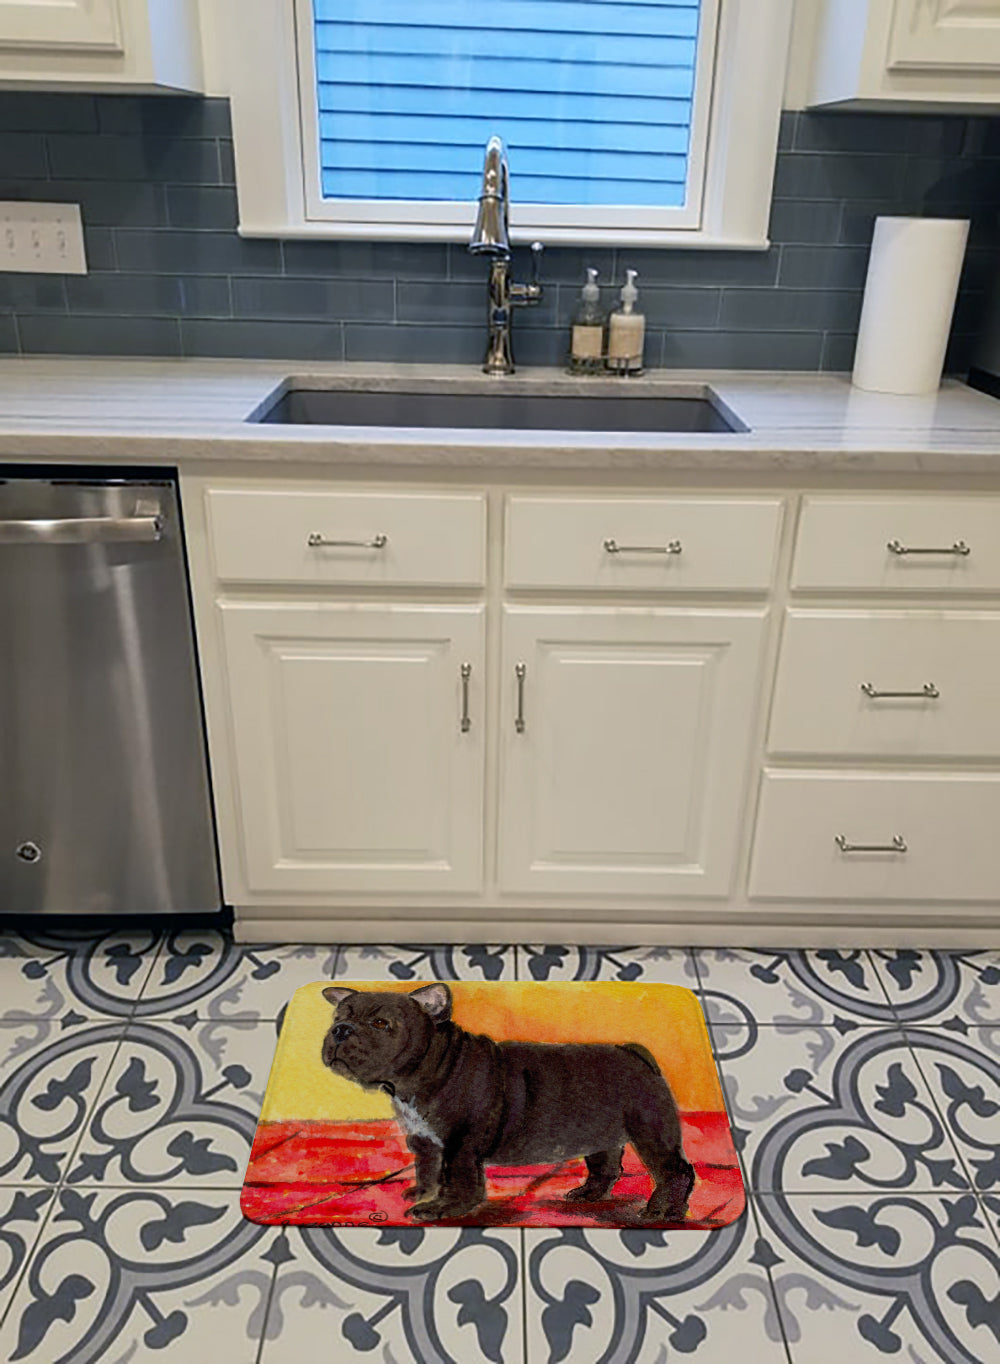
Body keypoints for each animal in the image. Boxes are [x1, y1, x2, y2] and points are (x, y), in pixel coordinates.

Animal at [321, 982, 695, 1222]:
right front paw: (423, 1192)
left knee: (675, 1171)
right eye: (339, 1018)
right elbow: (427, 1168)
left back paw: (664, 1212)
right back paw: (588, 1196)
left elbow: (458, 1179)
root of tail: (634, 1053)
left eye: (380, 1023)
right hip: (599, 1132)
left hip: (650, 1131)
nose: (340, 1030)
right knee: (606, 1166)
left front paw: (442, 1208)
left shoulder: (460, 1144)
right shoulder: (424, 1140)